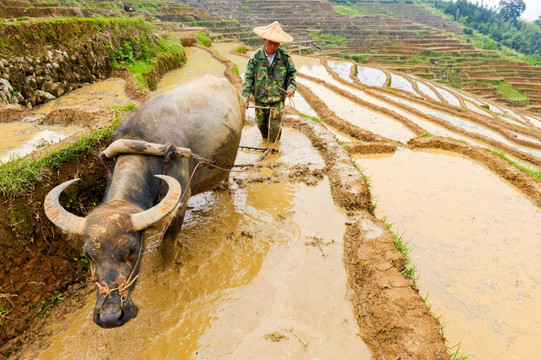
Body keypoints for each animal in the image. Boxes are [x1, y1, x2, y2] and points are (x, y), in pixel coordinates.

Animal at [44, 74, 243, 328]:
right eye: (88, 255)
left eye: (132, 249)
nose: (110, 317)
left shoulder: (180, 204)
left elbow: (167, 246)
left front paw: (167, 271)